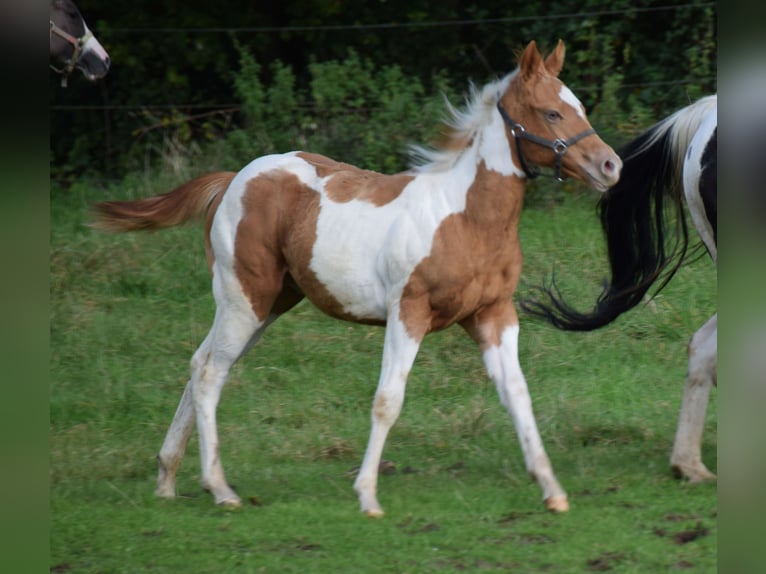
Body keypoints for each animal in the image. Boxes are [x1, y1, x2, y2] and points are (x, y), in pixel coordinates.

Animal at [94, 40, 624, 516]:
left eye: (579, 107)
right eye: (551, 113)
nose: (610, 165)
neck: (466, 217)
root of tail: (233, 180)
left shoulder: (493, 314)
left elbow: (517, 395)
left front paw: (552, 489)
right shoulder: (408, 311)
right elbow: (388, 399)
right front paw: (368, 496)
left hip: (264, 307)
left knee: (199, 362)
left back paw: (167, 479)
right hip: (245, 299)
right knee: (209, 374)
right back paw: (220, 490)